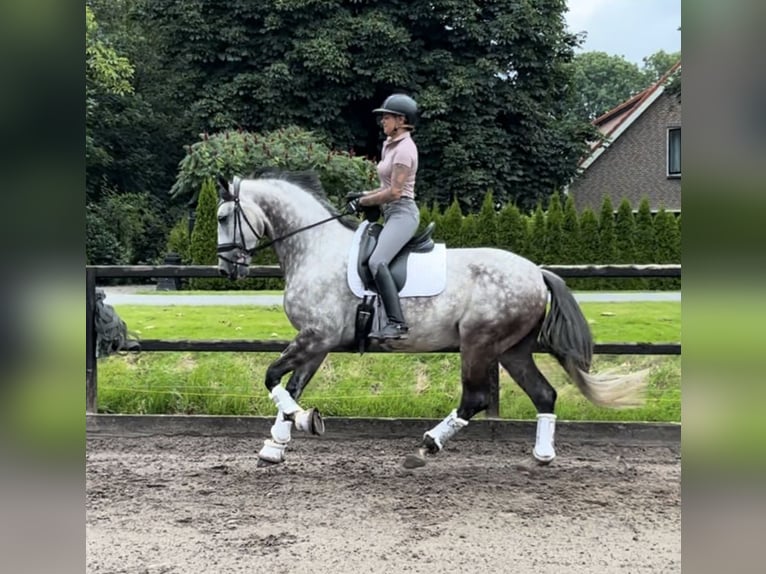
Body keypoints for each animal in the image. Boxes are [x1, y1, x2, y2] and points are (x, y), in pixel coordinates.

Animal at [218, 170, 656, 468]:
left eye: (223, 218)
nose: (226, 269)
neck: (315, 249)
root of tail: (537, 272)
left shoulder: (315, 337)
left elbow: (273, 378)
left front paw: (303, 422)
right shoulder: (319, 342)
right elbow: (292, 385)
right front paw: (276, 444)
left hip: (479, 343)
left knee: (476, 398)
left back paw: (428, 444)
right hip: (512, 350)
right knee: (544, 394)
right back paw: (542, 454)